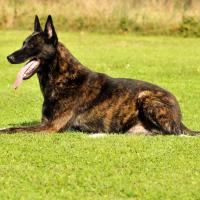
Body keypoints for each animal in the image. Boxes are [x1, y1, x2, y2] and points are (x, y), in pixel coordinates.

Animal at [0, 15, 198, 136]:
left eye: (32, 45)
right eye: (23, 43)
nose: (9, 57)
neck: (62, 77)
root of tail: (179, 117)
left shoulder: (51, 126)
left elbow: (14, 128)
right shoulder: (46, 123)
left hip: (145, 98)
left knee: (170, 132)